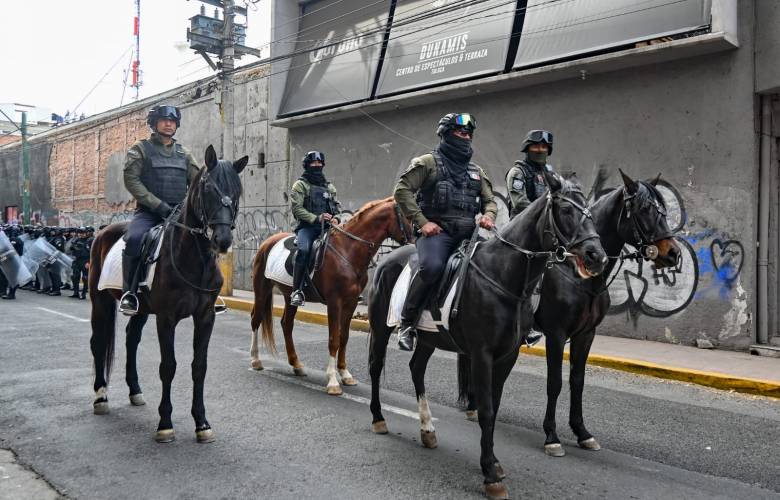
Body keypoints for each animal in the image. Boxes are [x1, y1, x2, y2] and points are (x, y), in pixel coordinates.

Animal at [89, 145, 248, 443]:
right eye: (208, 188)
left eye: (237, 190)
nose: (222, 240)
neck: (193, 258)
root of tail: (103, 232)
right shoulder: (166, 318)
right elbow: (169, 366)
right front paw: (165, 424)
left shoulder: (205, 317)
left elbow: (199, 366)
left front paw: (202, 423)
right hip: (99, 301)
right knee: (98, 342)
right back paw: (100, 396)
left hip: (140, 309)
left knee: (131, 339)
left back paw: (135, 391)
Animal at [249, 196, 413, 395]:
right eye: (405, 214)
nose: (415, 238)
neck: (348, 251)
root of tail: (267, 242)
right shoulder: (335, 302)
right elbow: (333, 339)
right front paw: (333, 381)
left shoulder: (350, 303)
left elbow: (344, 337)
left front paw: (345, 374)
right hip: (262, 289)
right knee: (256, 319)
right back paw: (256, 360)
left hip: (289, 296)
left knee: (286, 324)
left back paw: (296, 364)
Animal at [368, 172, 608, 499]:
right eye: (566, 210)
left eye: (590, 211)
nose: (597, 256)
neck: (504, 275)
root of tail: (385, 260)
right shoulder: (482, 354)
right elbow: (486, 410)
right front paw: (490, 475)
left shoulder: (508, 355)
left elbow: (493, 407)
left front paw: (492, 464)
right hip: (381, 327)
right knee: (375, 367)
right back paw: (379, 418)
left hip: (429, 339)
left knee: (416, 369)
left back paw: (427, 429)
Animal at [459, 169, 682, 458]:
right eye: (644, 209)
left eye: (663, 209)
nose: (673, 252)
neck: (580, 276)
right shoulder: (556, 333)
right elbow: (554, 382)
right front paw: (551, 436)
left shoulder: (586, 334)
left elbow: (577, 380)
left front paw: (582, 432)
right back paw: (474, 406)